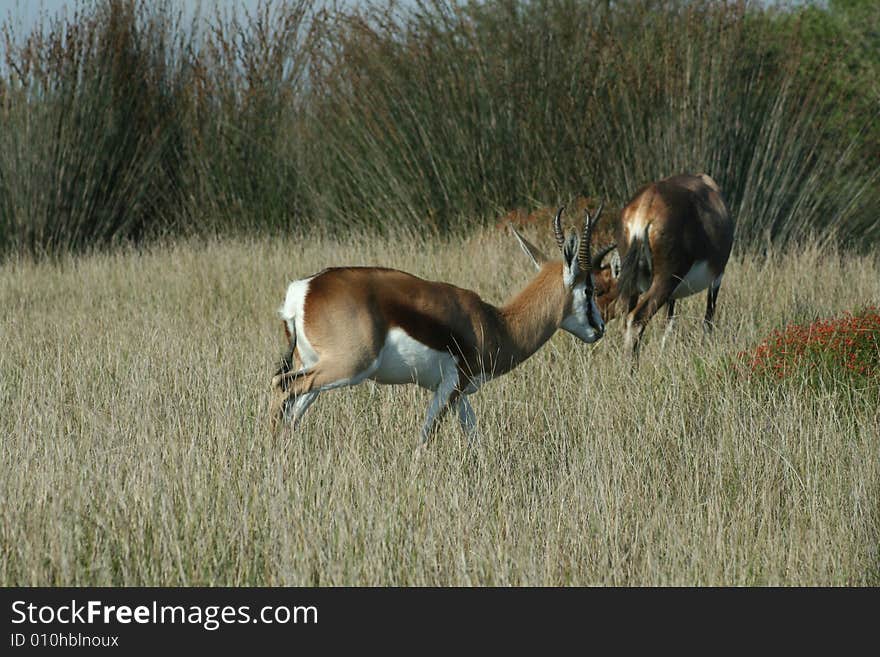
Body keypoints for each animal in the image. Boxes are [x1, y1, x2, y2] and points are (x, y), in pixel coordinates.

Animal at [270, 209, 604, 446]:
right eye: (589, 289)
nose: (599, 328)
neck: (494, 323)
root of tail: (303, 290)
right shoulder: (450, 385)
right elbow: (425, 436)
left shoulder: (460, 393)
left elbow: (473, 438)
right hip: (349, 367)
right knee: (281, 387)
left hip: (315, 369)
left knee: (291, 413)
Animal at [596, 173, 732, 358]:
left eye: (597, 289)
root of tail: (646, 204)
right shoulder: (717, 277)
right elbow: (707, 320)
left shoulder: (672, 295)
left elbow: (668, 327)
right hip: (666, 279)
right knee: (637, 318)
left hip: (635, 283)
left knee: (626, 315)